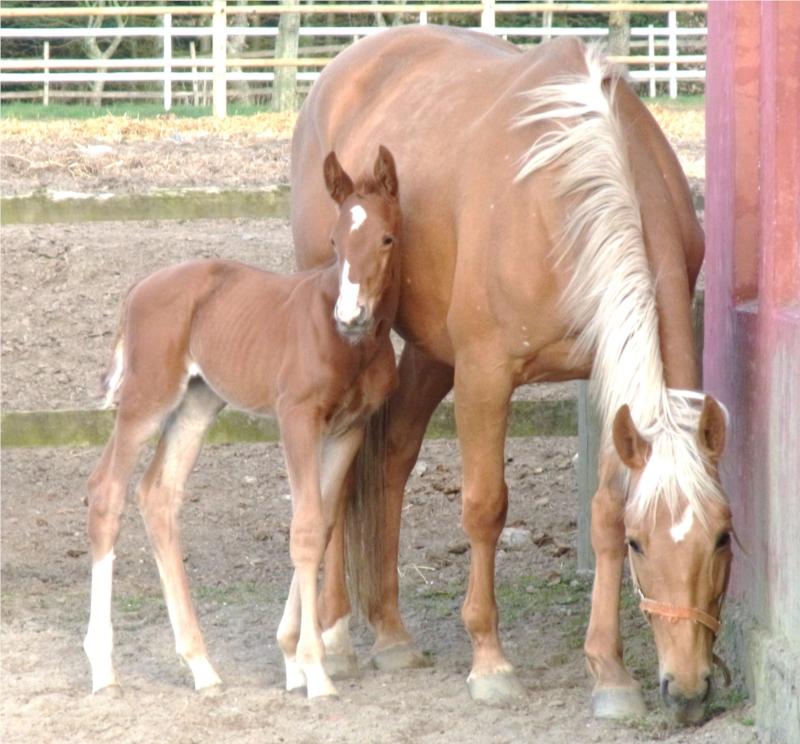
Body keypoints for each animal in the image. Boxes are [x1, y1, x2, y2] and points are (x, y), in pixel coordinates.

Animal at [84, 145, 404, 696]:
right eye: (335, 241)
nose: (351, 315)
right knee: (107, 490)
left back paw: (200, 665)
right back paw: (103, 669)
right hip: (147, 400)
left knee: (158, 495)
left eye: (386, 238)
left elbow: (321, 526)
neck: (350, 346)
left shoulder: (349, 428)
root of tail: (137, 288)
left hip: (197, 403)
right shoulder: (296, 418)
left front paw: (293, 659)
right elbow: (304, 527)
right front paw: (315, 670)